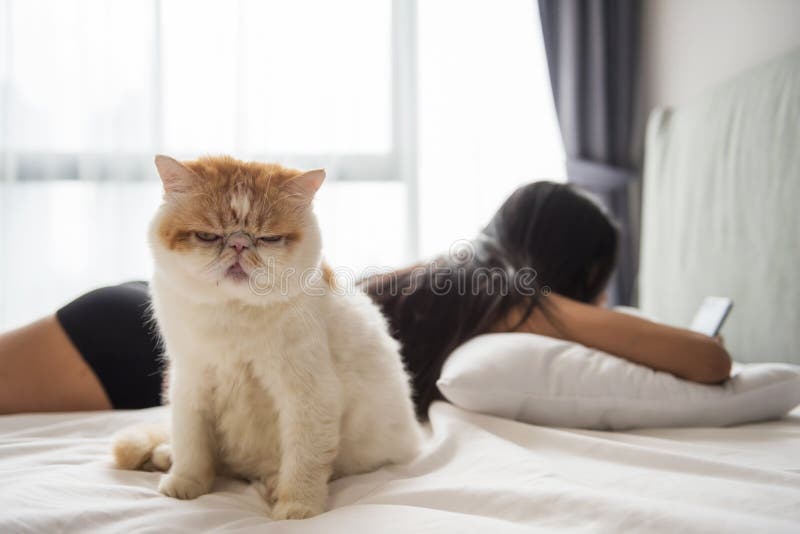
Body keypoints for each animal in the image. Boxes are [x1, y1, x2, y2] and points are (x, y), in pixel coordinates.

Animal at [116, 156, 424, 524]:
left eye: (268, 238)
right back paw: (164, 456)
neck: (233, 313)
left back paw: (273, 484)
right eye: (208, 236)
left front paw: (297, 508)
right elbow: (192, 444)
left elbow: (303, 460)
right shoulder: (191, 381)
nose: (238, 244)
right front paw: (186, 482)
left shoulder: (308, 396)